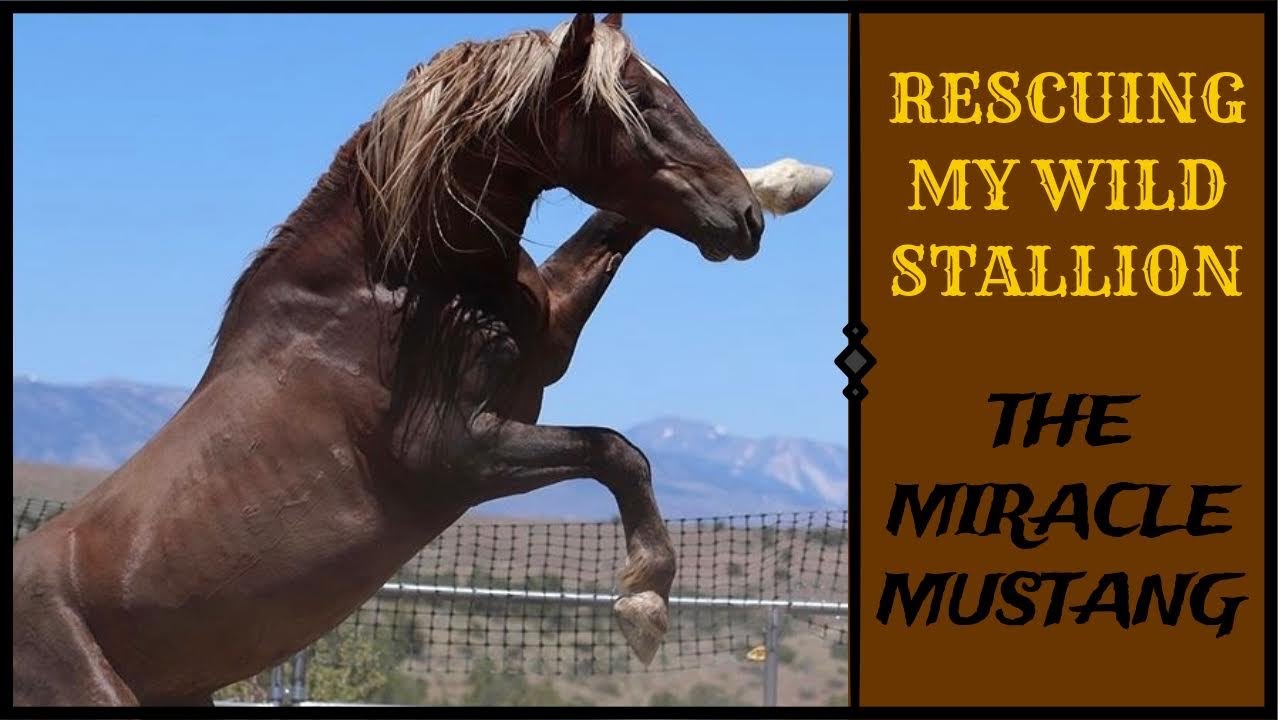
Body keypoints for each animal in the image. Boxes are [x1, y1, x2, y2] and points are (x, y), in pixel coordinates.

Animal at [12, 14, 822, 706]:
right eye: (642, 103)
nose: (743, 221)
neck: (399, 286)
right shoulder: (454, 456)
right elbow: (617, 451)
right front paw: (644, 603)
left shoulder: (548, 343)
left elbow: (614, 225)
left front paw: (792, 180)